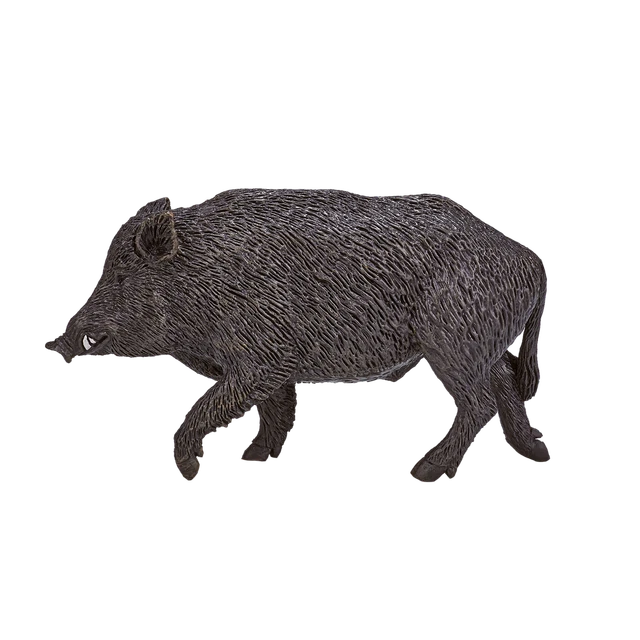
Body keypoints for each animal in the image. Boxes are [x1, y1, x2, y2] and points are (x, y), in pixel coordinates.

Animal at [43, 187, 550, 483]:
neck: (199, 280)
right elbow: (278, 409)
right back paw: (537, 454)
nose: (56, 342)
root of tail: (526, 257)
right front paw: (251, 459)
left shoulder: (265, 356)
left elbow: (212, 406)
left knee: (479, 403)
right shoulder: (274, 365)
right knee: (505, 389)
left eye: (123, 277)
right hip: (483, 344)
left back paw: (423, 473)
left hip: (453, 340)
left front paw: (190, 469)